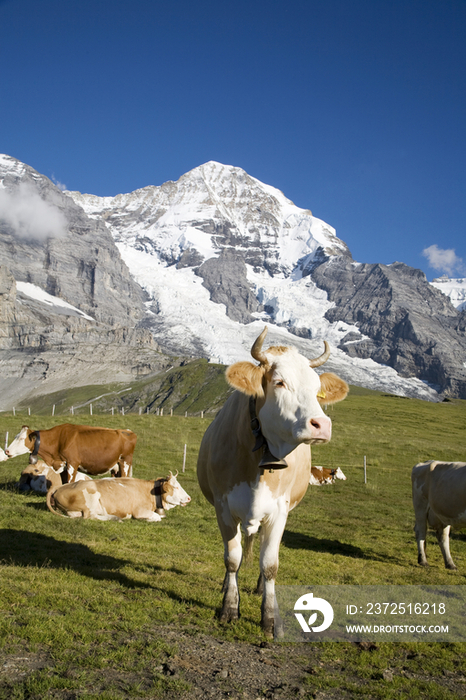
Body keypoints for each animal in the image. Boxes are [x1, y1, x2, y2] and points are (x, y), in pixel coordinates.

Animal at [5, 424, 137, 484]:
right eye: (16, 436)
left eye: (21, 438)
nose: (6, 451)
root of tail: (128, 431)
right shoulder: (62, 464)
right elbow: (63, 482)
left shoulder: (72, 463)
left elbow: (69, 482)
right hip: (115, 467)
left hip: (125, 462)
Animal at [46, 470, 192, 520]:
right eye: (176, 487)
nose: (189, 498)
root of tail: (61, 487)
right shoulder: (139, 511)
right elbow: (157, 517)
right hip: (91, 497)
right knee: (89, 516)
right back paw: (114, 518)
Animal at [195, 326, 348, 636]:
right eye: (279, 382)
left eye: (317, 388)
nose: (322, 425)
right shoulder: (223, 507)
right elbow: (232, 558)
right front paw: (229, 607)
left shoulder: (278, 511)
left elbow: (270, 564)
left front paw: (269, 618)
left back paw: (258, 588)